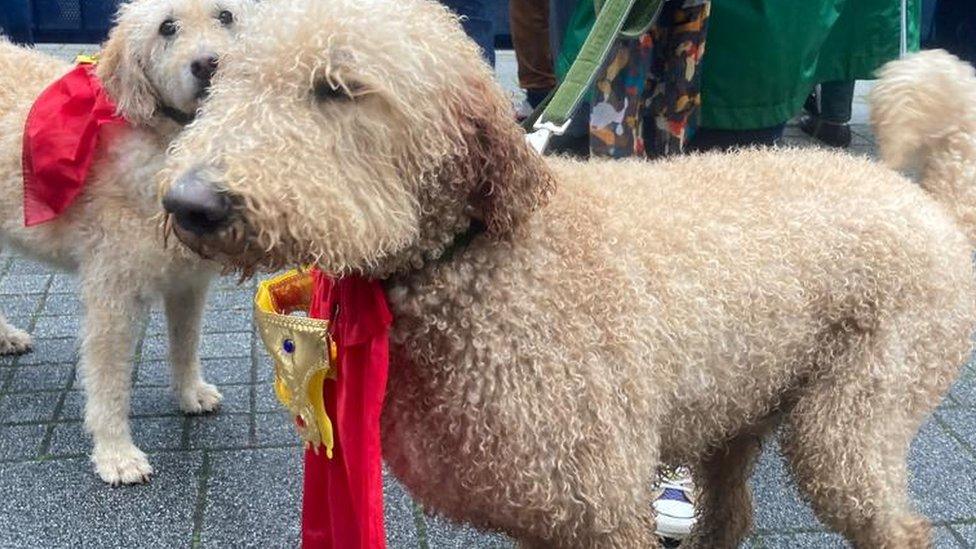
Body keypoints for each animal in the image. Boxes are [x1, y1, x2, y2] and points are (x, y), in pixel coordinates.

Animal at [0, 0, 248, 482]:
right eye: (167, 27)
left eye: (226, 16)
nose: (208, 65)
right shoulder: (112, 293)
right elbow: (107, 377)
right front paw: (116, 452)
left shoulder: (188, 280)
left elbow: (186, 342)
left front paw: (190, 393)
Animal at [160, 2, 976, 544]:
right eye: (223, 79)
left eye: (337, 87)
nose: (187, 203)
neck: (484, 262)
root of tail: (934, 209)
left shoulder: (599, 507)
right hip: (742, 397)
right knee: (732, 508)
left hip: (856, 417)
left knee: (894, 522)